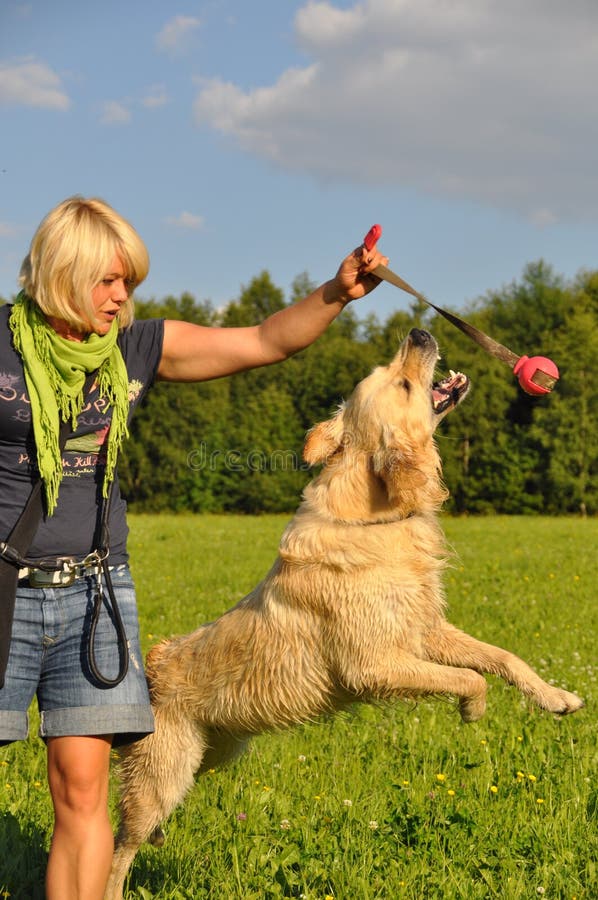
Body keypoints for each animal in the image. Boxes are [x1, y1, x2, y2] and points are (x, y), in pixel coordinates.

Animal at [105, 330, 584, 900]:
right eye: (403, 383)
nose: (419, 333)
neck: (378, 515)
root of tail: (149, 668)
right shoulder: (373, 666)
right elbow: (471, 678)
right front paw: (473, 711)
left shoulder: (425, 630)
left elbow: (503, 659)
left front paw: (557, 698)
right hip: (162, 776)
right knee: (120, 844)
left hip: (209, 755)